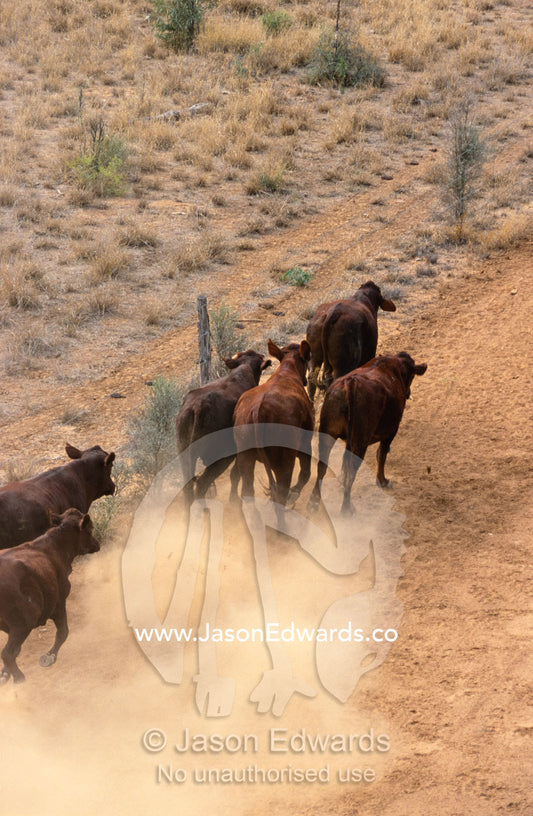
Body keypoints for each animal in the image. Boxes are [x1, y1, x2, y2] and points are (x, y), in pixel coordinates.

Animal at [0, 508, 100, 683]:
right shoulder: (58, 605)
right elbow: (63, 632)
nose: (97, 544)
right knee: (7, 653)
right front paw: (49, 657)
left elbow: (18, 650)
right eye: (90, 529)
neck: (54, 547)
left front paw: (4, 673)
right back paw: (19, 678)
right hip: (23, 623)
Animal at [176, 349, 271, 502]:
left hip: (184, 455)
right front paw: (234, 500)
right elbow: (236, 475)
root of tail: (198, 406)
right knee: (202, 484)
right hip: (221, 458)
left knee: (189, 489)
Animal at [233, 340, 314, 506]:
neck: (287, 370)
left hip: (244, 458)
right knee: (281, 494)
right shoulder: (305, 440)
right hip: (283, 464)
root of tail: (257, 409)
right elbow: (305, 472)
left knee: (247, 491)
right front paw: (295, 493)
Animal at [309, 352, 427, 514]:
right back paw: (346, 508)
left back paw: (314, 501)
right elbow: (381, 455)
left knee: (322, 466)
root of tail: (350, 384)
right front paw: (383, 481)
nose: (408, 393)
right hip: (360, 443)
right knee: (351, 471)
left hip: (327, 433)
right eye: (412, 375)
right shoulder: (391, 431)